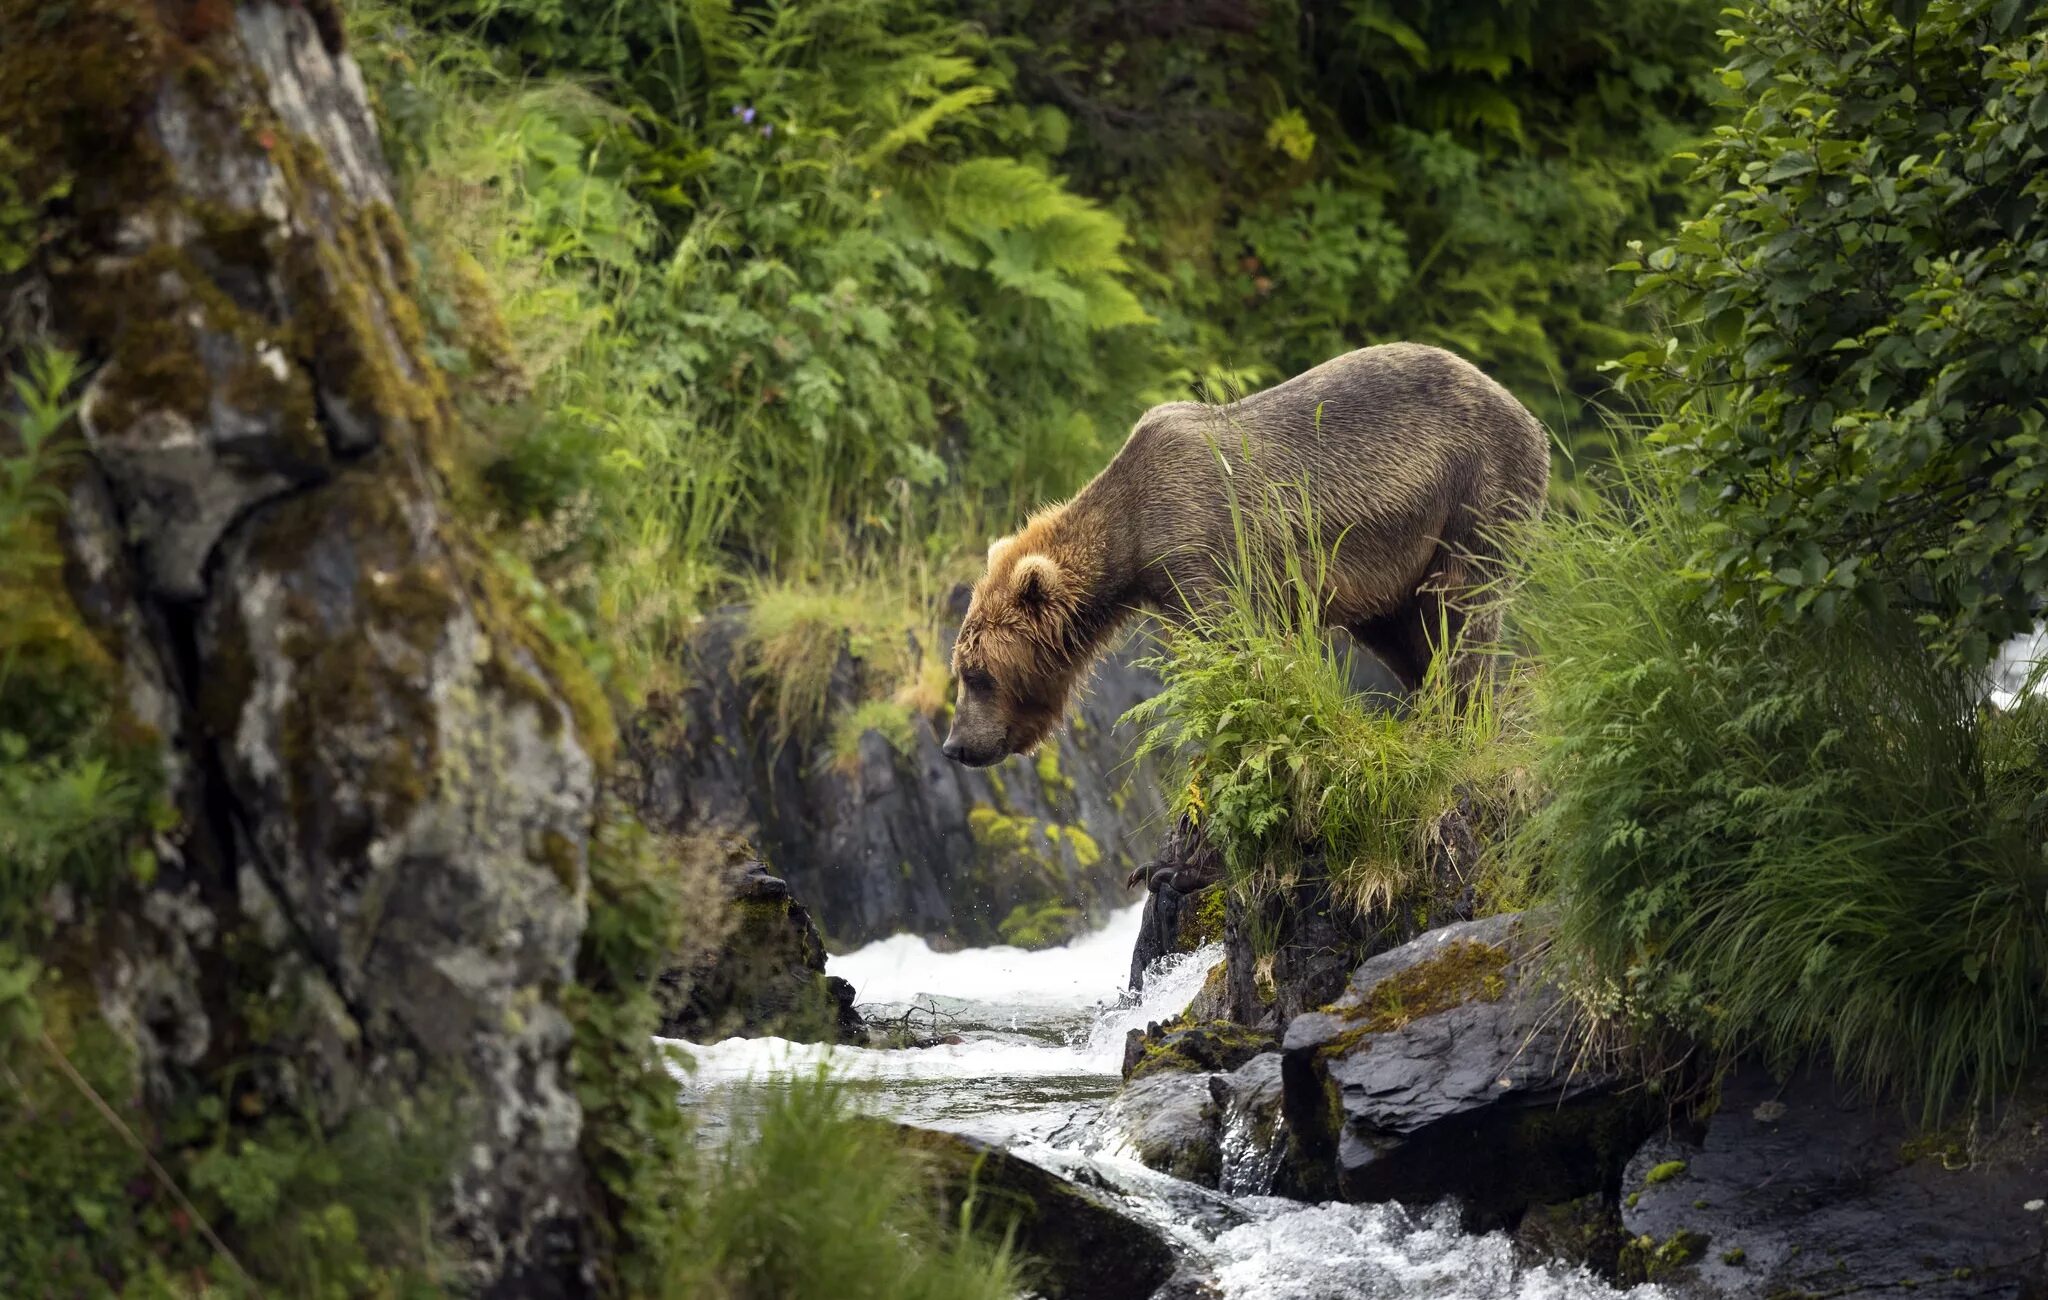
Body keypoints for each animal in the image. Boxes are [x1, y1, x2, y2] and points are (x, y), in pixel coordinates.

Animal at [937, 348, 1540, 773]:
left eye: (978, 673)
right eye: (962, 669)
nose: (955, 745)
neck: (1131, 536)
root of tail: (1525, 411)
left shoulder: (1203, 543)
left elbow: (1241, 648)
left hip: (1473, 490)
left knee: (1460, 610)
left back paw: (1464, 718)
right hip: (1398, 562)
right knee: (1407, 635)